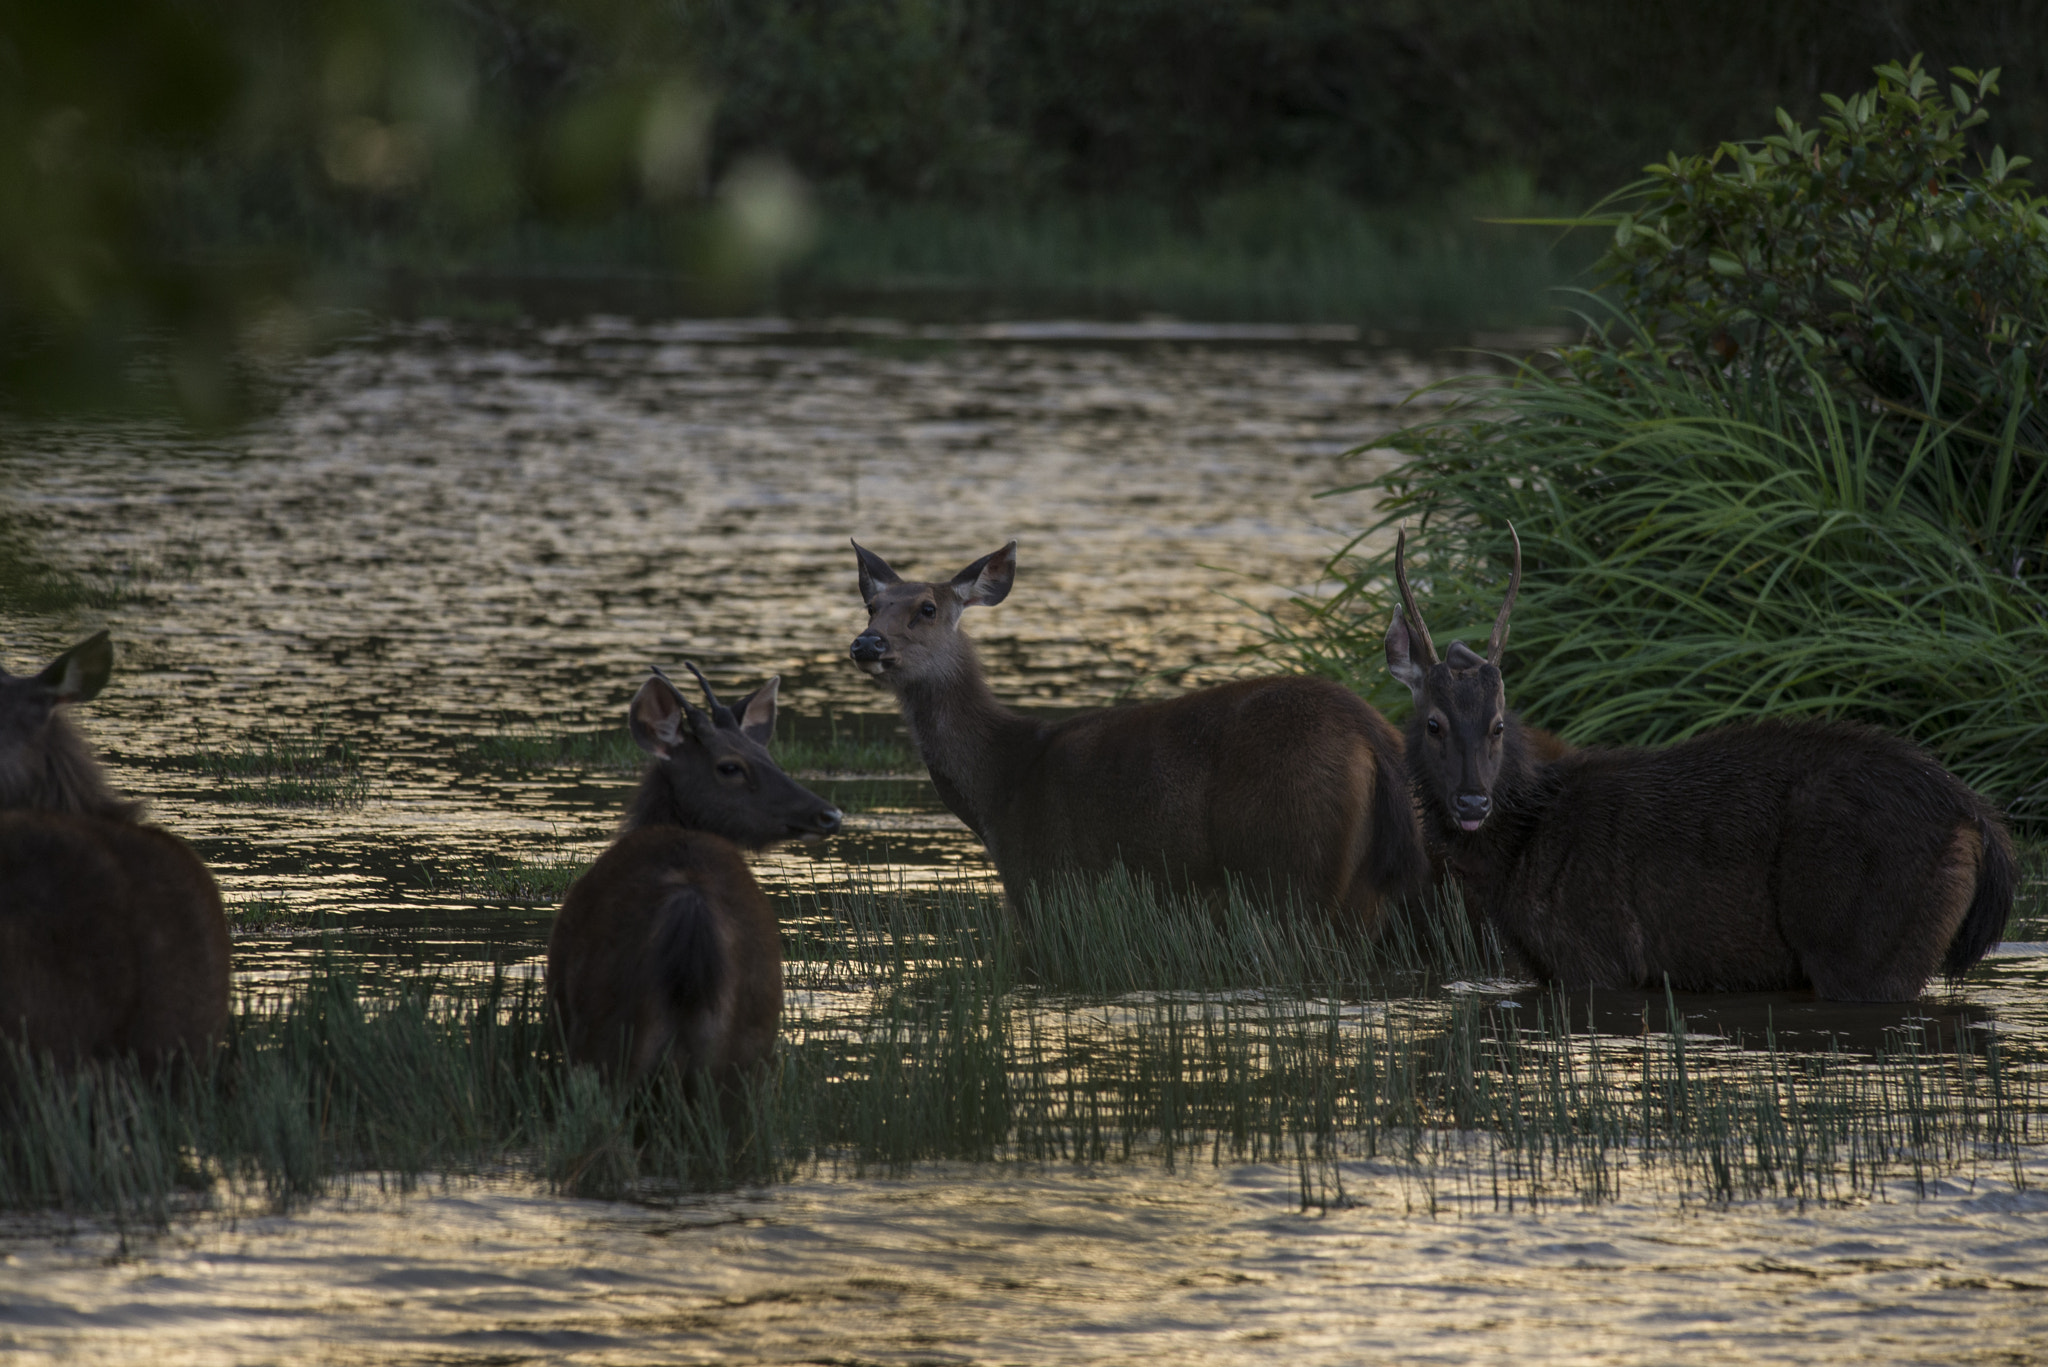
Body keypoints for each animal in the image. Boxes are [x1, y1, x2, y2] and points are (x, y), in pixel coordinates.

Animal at [548, 664, 843, 1090]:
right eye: (730, 766)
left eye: (768, 756)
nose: (829, 815)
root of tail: (691, 906)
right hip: (747, 1047)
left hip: (602, 1036)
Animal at [847, 541, 1425, 926]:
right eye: (872, 606)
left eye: (927, 608)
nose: (866, 643)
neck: (1000, 786)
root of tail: (1372, 735)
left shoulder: (1042, 880)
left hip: (1293, 855)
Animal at [1384, 528, 2007, 1000]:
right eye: (1434, 723)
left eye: (1497, 724)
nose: (1472, 801)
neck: (1518, 855)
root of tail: (1975, 819)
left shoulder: (1597, 957)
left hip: (1864, 946)